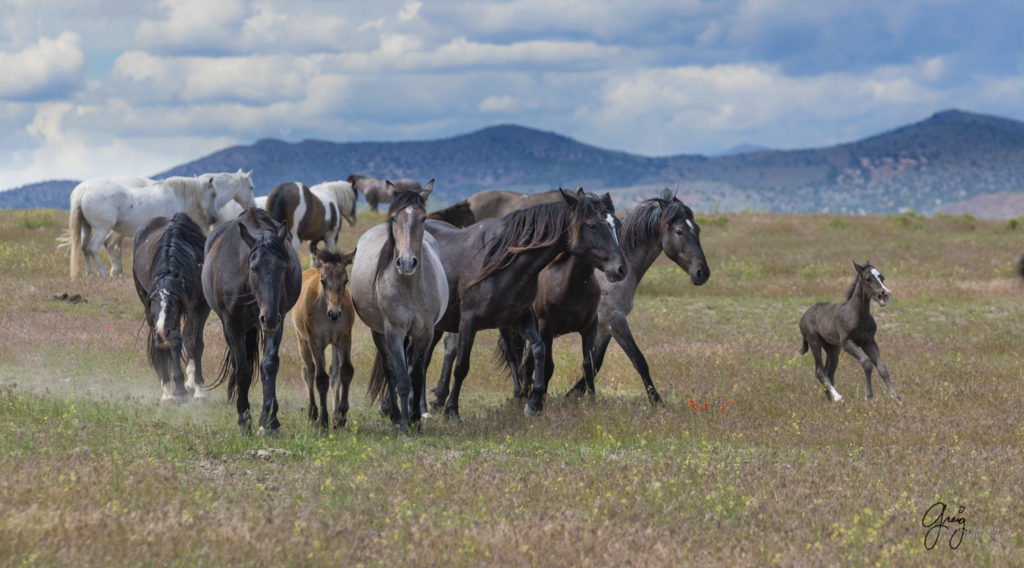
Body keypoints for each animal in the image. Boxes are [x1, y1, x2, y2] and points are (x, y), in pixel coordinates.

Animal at [133, 212, 210, 405]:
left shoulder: (200, 307)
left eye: (173, 305)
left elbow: (195, 343)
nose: (161, 332)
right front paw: (172, 391)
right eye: (153, 304)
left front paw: (198, 389)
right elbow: (172, 342)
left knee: (188, 338)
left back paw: (190, 383)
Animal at [201, 206, 301, 433]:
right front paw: (244, 420)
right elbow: (243, 371)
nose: (269, 317)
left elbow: (269, 364)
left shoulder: (277, 320)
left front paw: (269, 421)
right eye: (254, 268)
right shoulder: (232, 324)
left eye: (283, 267)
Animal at [294, 246, 358, 429]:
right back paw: (312, 414)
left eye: (345, 280)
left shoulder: (344, 338)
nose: (335, 313)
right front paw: (323, 420)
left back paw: (335, 414)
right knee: (308, 371)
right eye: (323, 280)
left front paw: (341, 414)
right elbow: (321, 378)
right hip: (302, 340)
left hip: (334, 344)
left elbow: (345, 371)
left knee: (334, 371)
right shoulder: (315, 342)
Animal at [421, 189, 622, 419]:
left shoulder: (523, 317)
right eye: (592, 225)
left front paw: (534, 403)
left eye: (617, 224)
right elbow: (462, 366)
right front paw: (452, 411)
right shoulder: (469, 322)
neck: (501, 262)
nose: (620, 268)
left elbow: (538, 351)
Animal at [794, 259, 901, 403]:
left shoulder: (869, 342)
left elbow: (882, 367)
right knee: (820, 371)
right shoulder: (847, 343)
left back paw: (829, 401)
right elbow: (867, 363)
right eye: (868, 279)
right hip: (814, 342)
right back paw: (838, 397)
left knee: (829, 372)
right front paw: (869, 396)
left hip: (833, 348)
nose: (886, 292)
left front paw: (897, 398)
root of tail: (804, 315)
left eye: (882, 277)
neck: (859, 316)